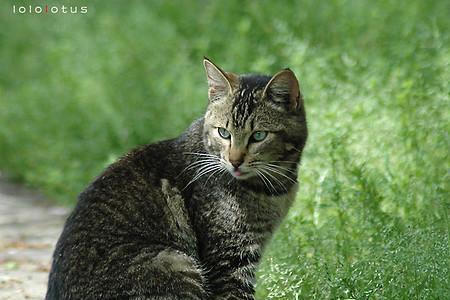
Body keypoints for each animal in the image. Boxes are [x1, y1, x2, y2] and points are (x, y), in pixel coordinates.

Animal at [46, 57, 306, 298]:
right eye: (224, 133)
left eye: (258, 136)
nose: (235, 160)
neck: (273, 187)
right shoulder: (229, 261)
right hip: (173, 260)